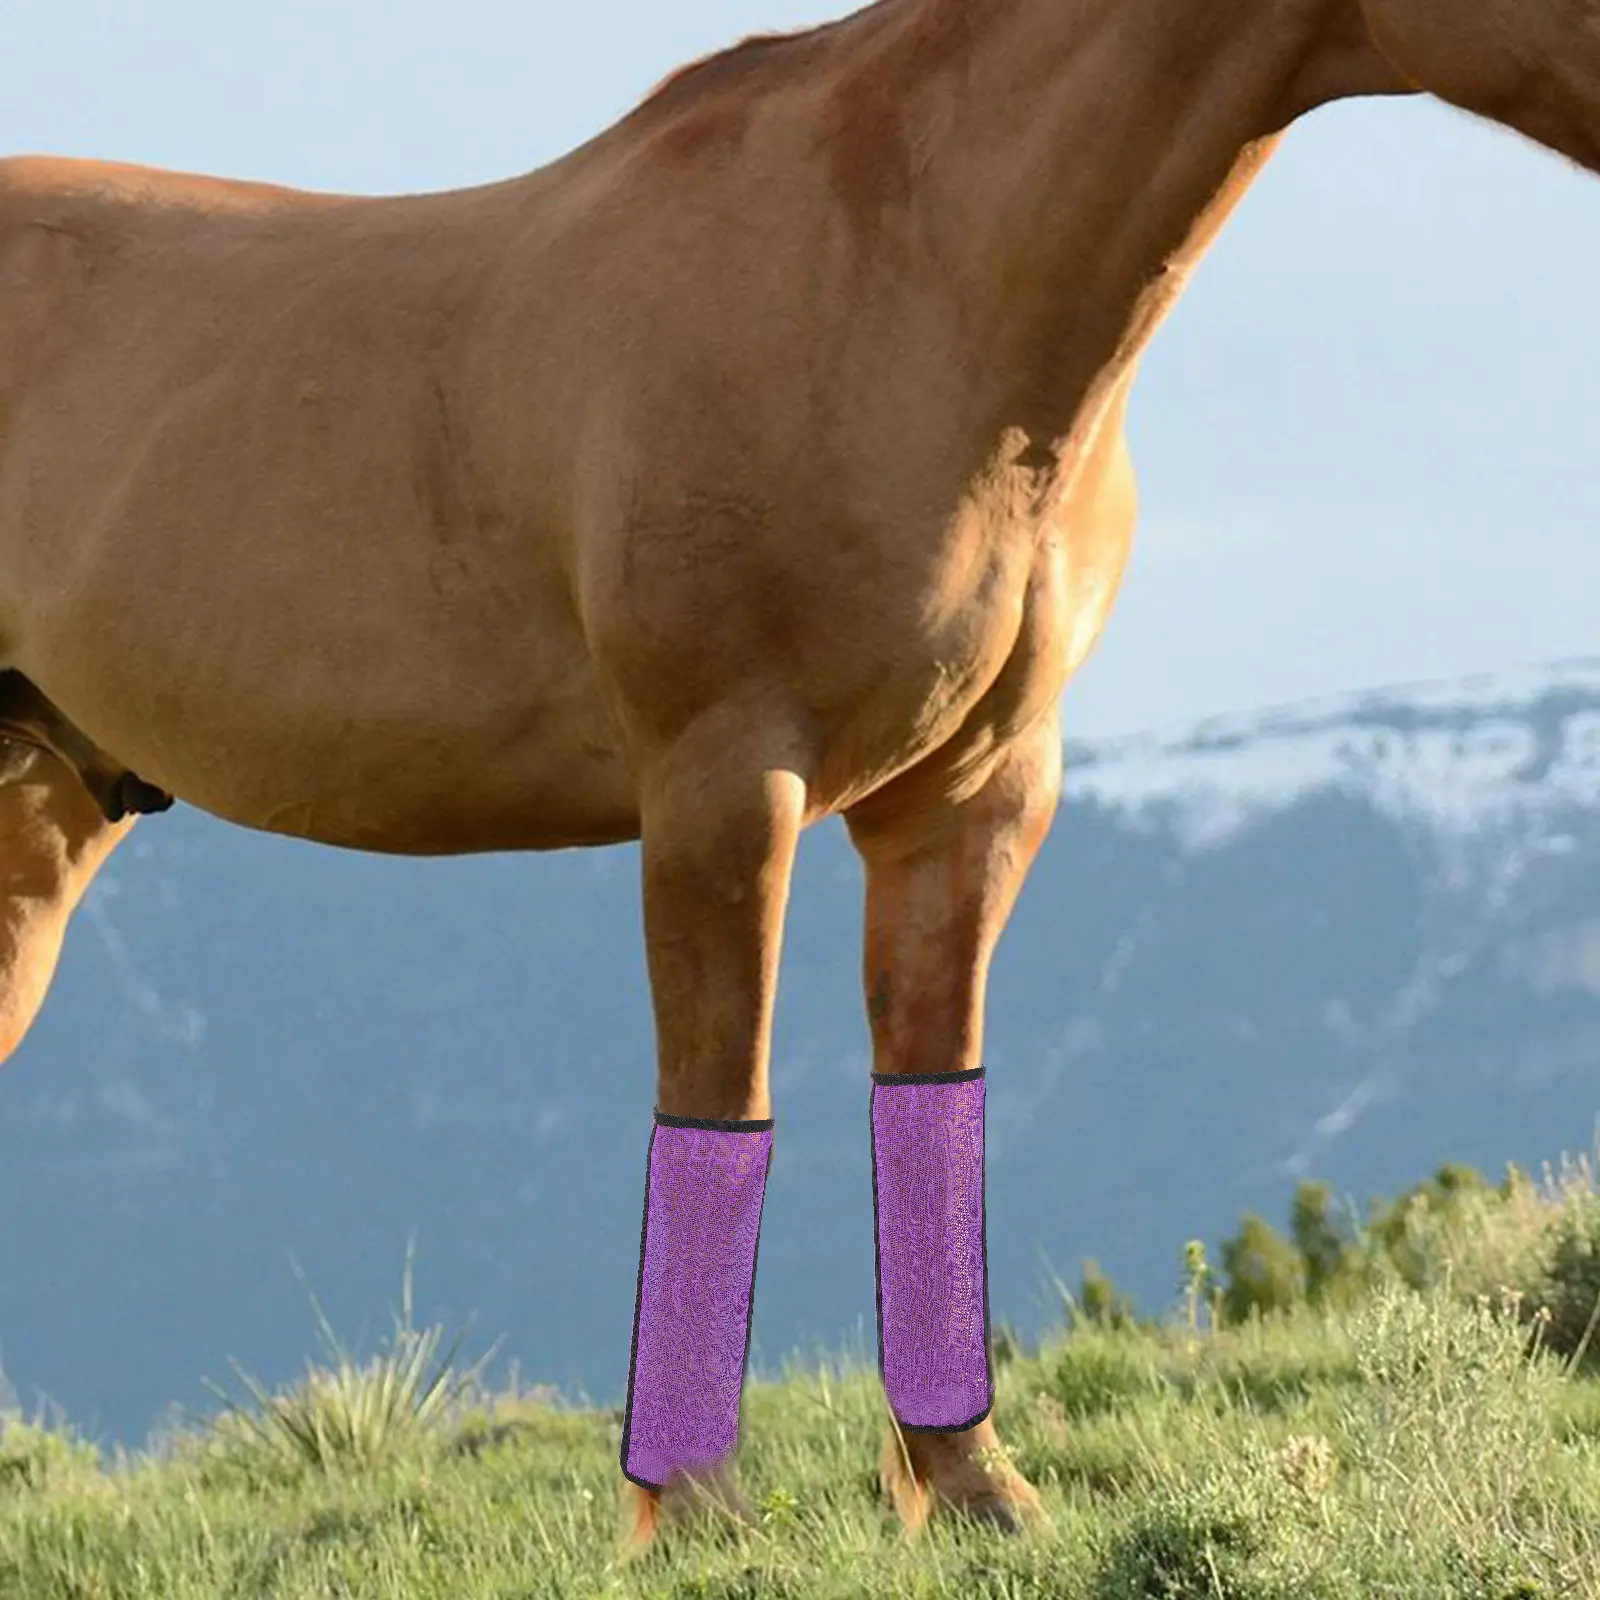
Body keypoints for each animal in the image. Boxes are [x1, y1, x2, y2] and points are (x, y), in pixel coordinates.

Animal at [1, 0, 1595, 1555]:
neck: (902, 279)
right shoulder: (723, 779)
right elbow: (722, 1096)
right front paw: (694, 1511)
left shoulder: (975, 796)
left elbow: (930, 1088)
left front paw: (973, 1489)